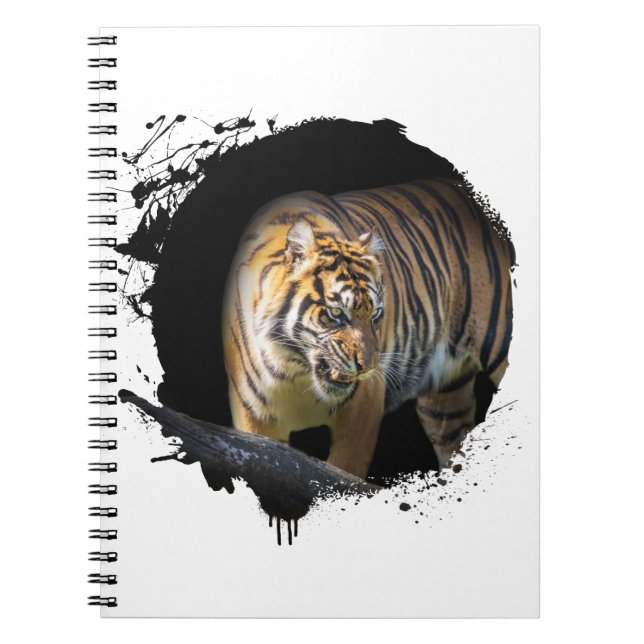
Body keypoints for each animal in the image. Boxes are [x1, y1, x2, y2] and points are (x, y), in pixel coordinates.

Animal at [222, 179, 514, 479]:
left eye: (374, 313)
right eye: (337, 313)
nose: (368, 367)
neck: (296, 371)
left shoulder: (364, 406)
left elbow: (344, 472)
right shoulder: (255, 418)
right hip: (445, 404)